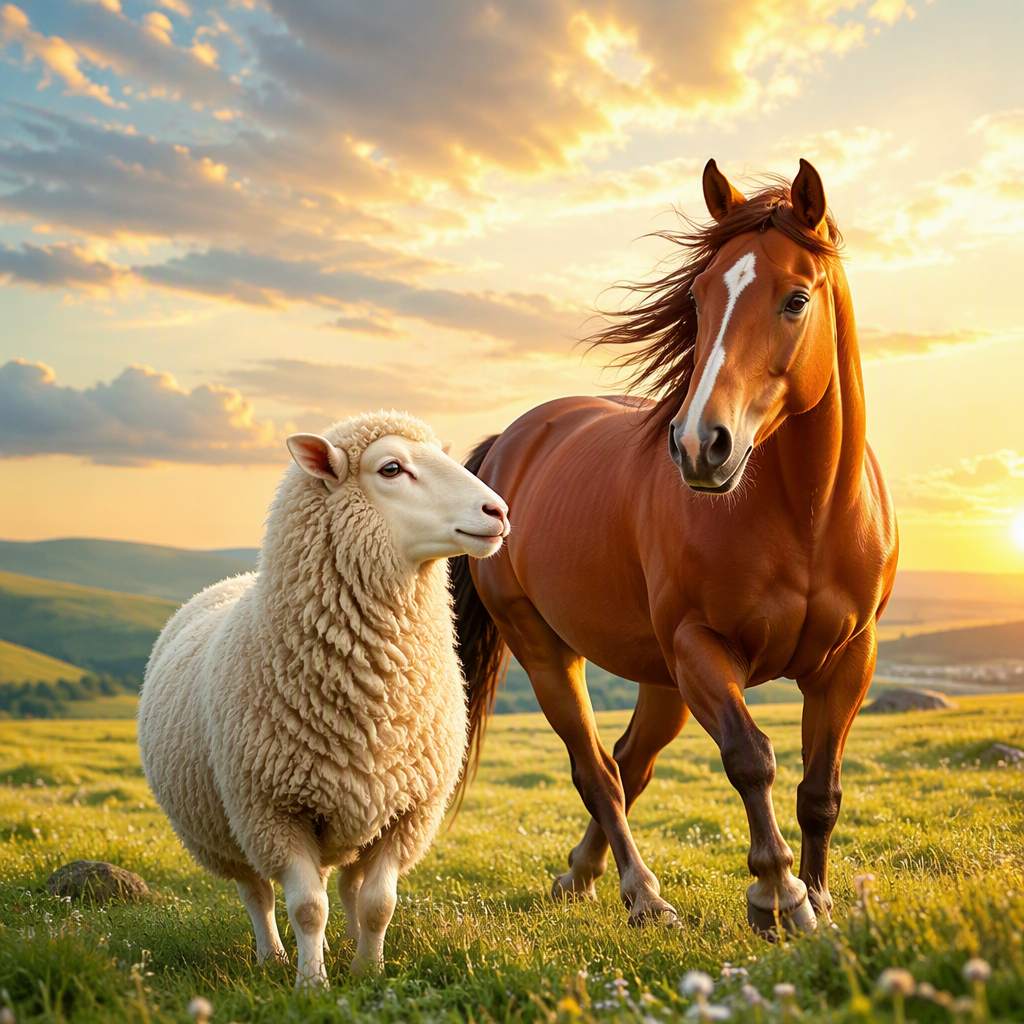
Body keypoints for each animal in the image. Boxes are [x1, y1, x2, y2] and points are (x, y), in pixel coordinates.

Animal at [450, 158, 898, 935]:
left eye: (796, 299)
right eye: (699, 295)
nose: (698, 445)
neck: (808, 516)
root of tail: (512, 442)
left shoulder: (850, 659)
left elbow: (821, 789)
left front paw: (820, 899)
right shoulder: (700, 646)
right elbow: (751, 758)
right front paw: (777, 895)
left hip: (661, 680)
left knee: (630, 764)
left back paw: (580, 875)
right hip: (549, 651)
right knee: (598, 771)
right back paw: (644, 895)